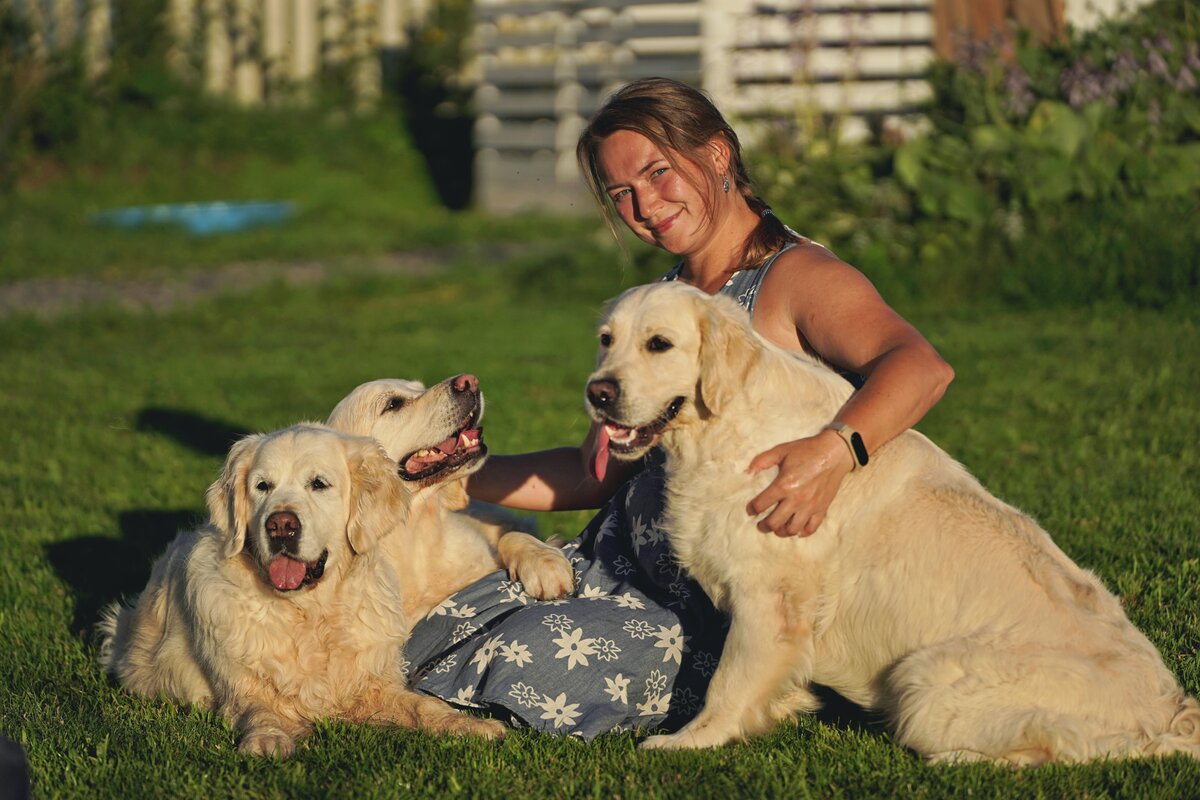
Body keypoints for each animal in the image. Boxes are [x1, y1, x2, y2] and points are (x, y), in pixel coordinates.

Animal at [96, 424, 501, 758]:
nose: (280, 525)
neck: (310, 613)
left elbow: (421, 706)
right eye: (262, 486)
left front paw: (470, 725)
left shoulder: (371, 685)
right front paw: (268, 739)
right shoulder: (241, 688)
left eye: (318, 484)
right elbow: (259, 709)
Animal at [326, 371, 573, 604]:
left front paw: (544, 561)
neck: (413, 536)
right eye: (393, 404)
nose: (470, 381)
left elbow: (511, 536)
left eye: (421, 388)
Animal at [583, 281, 1200, 762]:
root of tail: (1169, 706)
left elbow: (727, 682)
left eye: (659, 344)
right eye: (606, 340)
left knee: (1063, 748)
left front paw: (691, 740)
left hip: (925, 679)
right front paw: (786, 706)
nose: (598, 392)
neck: (728, 425)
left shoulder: (770, 597)